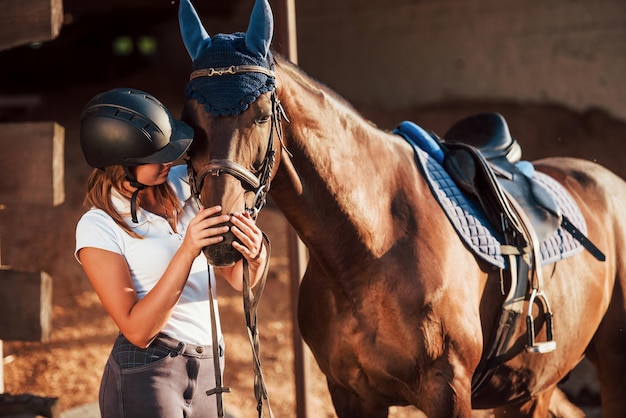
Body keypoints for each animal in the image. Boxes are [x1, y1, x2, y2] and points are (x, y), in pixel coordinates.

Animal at [177, 1, 624, 416]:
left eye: (259, 114)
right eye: (190, 121)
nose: (221, 234)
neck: (372, 244)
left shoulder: (448, 390)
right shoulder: (350, 394)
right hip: (530, 389)